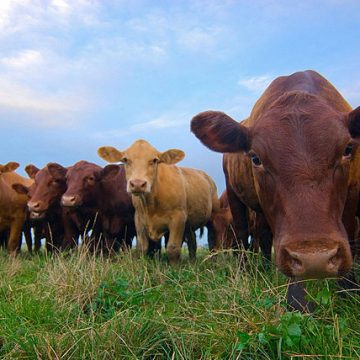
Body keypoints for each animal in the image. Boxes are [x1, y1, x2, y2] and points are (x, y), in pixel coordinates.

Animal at [193, 69, 360, 310]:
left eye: (348, 149)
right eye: (255, 158)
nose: (315, 259)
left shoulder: (353, 194)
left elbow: (349, 231)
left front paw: (348, 290)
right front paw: (298, 300)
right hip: (234, 195)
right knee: (243, 234)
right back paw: (248, 270)